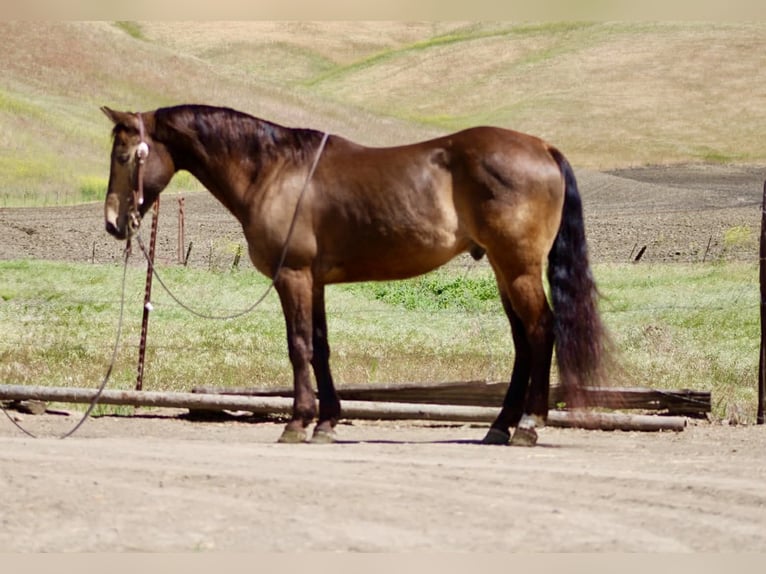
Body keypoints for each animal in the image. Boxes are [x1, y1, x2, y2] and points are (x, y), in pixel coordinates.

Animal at [101, 103, 608, 446]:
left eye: (124, 156)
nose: (112, 222)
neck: (274, 170)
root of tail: (542, 147)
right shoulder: (315, 281)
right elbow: (321, 347)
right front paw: (326, 422)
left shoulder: (294, 276)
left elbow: (299, 345)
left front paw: (297, 422)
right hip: (505, 270)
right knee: (523, 341)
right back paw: (500, 426)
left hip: (518, 268)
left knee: (541, 331)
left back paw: (528, 426)